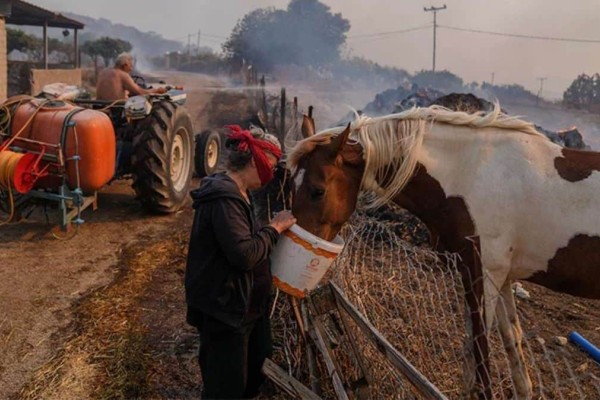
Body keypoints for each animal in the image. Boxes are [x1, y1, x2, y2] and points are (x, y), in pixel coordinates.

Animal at [288, 104, 600, 398]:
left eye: (317, 190)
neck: (472, 173)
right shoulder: (500, 276)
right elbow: (510, 345)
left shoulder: (484, 274)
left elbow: (478, 359)